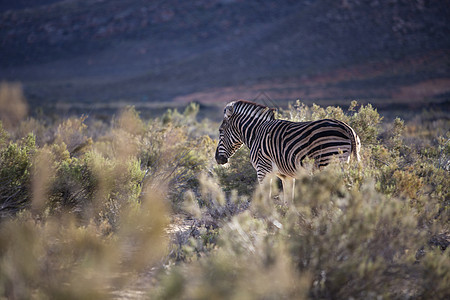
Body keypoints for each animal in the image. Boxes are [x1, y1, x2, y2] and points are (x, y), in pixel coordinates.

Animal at [215, 100, 362, 199]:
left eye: (220, 131)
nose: (217, 159)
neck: (256, 133)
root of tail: (346, 127)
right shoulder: (286, 176)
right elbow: (288, 201)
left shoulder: (263, 170)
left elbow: (266, 198)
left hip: (329, 163)